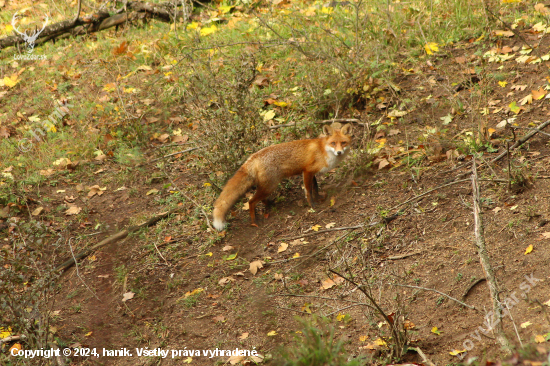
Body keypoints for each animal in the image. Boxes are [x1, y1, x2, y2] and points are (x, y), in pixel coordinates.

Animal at [212, 123, 354, 232]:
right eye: (333, 143)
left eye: (343, 143)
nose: (339, 152)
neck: (323, 150)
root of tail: (253, 156)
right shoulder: (307, 171)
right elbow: (308, 191)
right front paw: (312, 205)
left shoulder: (312, 172)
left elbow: (315, 188)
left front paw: (318, 198)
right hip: (270, 186)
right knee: (251, 201)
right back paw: (254, 221)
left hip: (268, 186)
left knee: (260, 199)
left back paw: (269, 204)